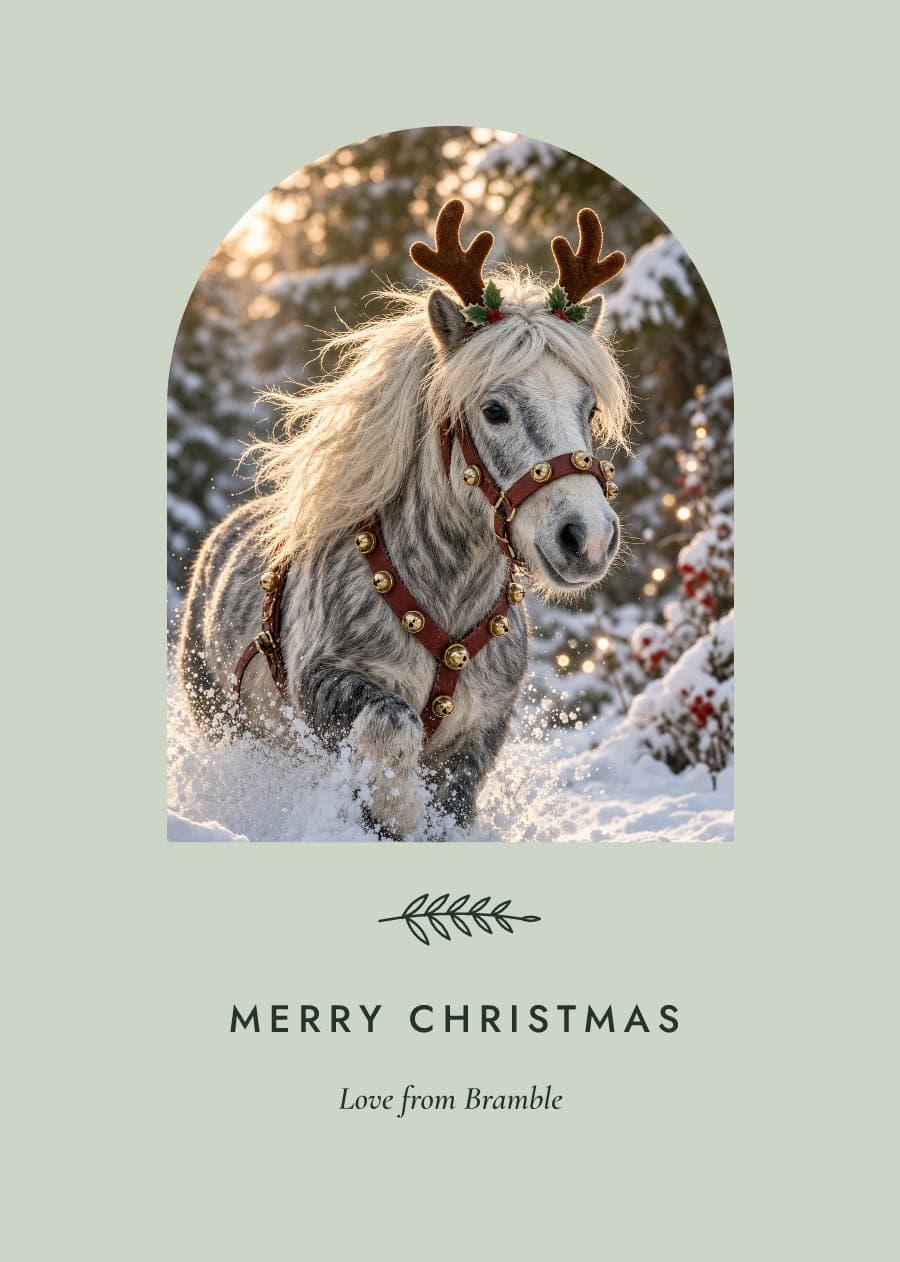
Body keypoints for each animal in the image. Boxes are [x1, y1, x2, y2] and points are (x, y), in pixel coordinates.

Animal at [176, 204, 631, 838]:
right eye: (493, 409)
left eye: (588, 409)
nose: (587, 538)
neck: (447, 602)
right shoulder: (324, 685)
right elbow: (392, 727)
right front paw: (397, 808)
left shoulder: (482, 732)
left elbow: (453, 805)